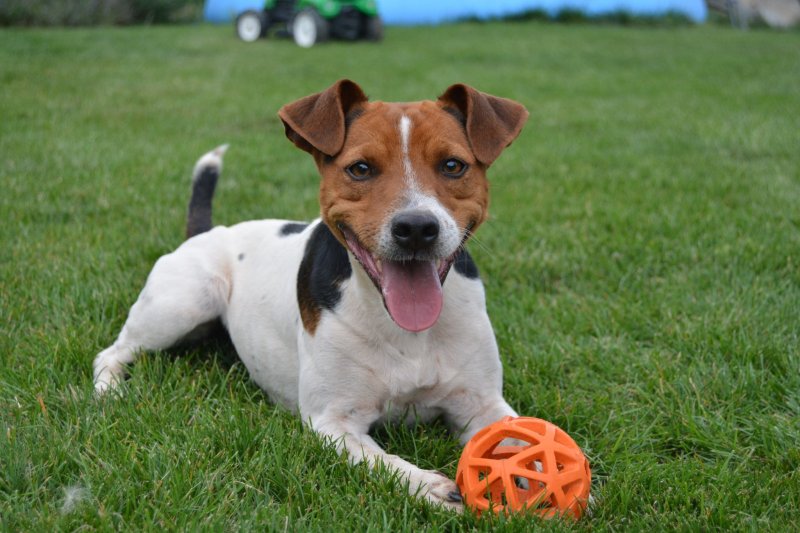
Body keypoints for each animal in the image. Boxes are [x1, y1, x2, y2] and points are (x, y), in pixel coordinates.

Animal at [94, 79, 528, 508]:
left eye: (453, 165)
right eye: (360, 168)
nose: (417, 228)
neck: (403, 327)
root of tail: (207, 231)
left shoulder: (483, 402)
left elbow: (523, 437)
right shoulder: (332, 421)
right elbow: (386, 463)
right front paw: (430, 486)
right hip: (183, 302)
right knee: (113, 351)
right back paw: (109, 390)